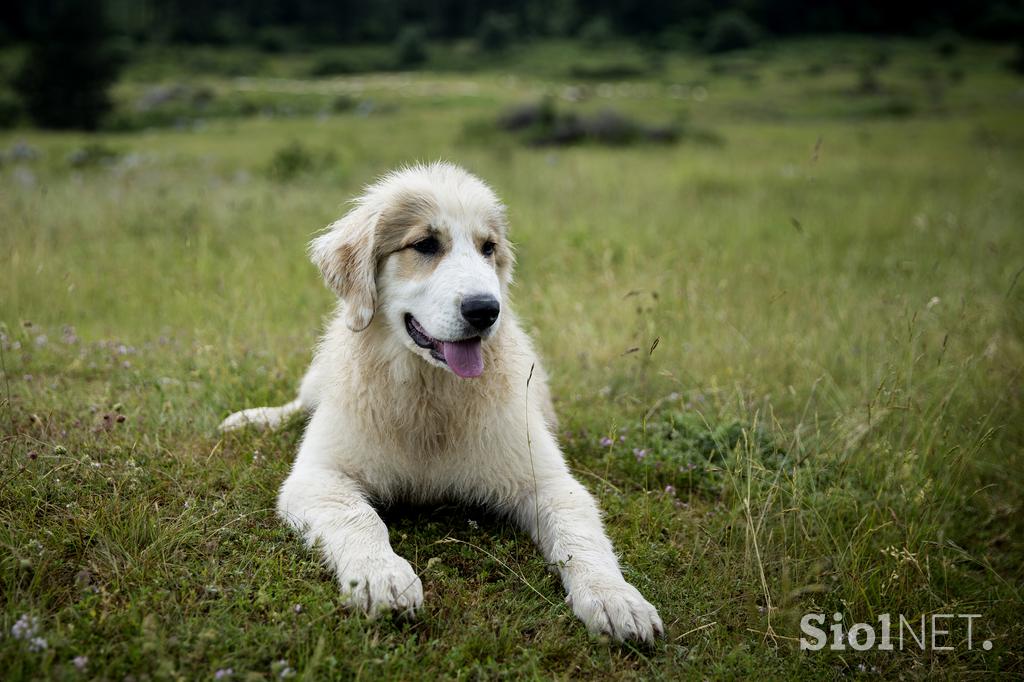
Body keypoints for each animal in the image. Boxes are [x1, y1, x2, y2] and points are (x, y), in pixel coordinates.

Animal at [220, 161, 659, 638]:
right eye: (426, 245)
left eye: (488, 249)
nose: (486, 310)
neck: (428, 391)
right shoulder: (319, 477)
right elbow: (359, 519)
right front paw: (381, 577)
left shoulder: (550, 482)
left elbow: (581, 539)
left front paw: (616, 598)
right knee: (301, 403)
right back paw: (251, 419)